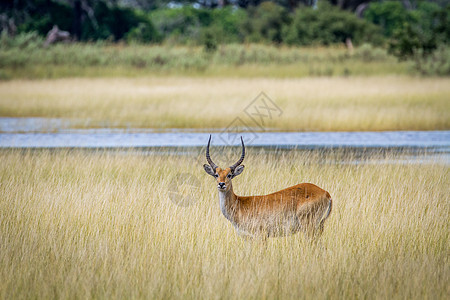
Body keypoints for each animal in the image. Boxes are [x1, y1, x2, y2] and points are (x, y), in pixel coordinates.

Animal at [202, 136, 332, 239]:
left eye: (229, 175)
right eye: (216, 175)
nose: (221, 184)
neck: (239, 204)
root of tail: (326, 193)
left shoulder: (262, 236)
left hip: (309, 227)